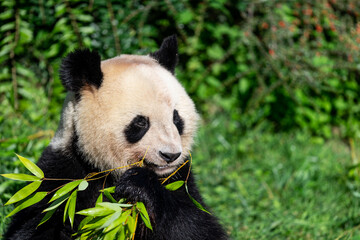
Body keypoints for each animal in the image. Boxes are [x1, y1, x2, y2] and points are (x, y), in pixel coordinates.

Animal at [4, 36, 226, 240]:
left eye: (176, 118)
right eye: (141, 123)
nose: (170, 155)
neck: (109, 171)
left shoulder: (180, 178)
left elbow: (196, 226)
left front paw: (139, 186)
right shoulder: (60, 177)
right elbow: (34, 226)